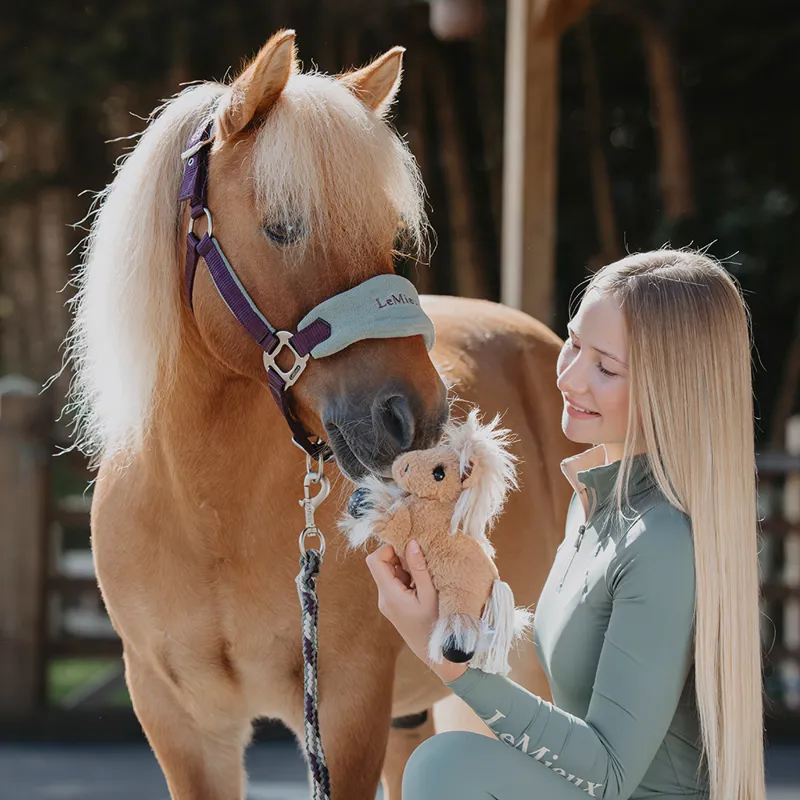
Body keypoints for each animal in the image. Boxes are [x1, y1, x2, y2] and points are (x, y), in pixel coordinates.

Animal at [67, 29, 576, 800]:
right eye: (282, 227)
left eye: (388, 232)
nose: (417, 416)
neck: (208, 514)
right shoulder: (180, 722)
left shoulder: (345, 707)